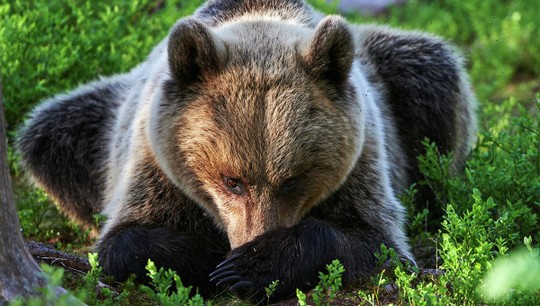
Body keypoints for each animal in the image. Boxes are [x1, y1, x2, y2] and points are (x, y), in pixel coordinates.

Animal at [19, 0, 476, 302]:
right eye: (231, 180)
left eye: (294, 180)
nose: (250, 238)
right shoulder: (153, 162)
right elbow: (121, 242)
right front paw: (212, 257)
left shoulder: (363, 159)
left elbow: (378, 244)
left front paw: (252, 267)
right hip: (100, 119)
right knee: (49, 134)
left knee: (433, 73)